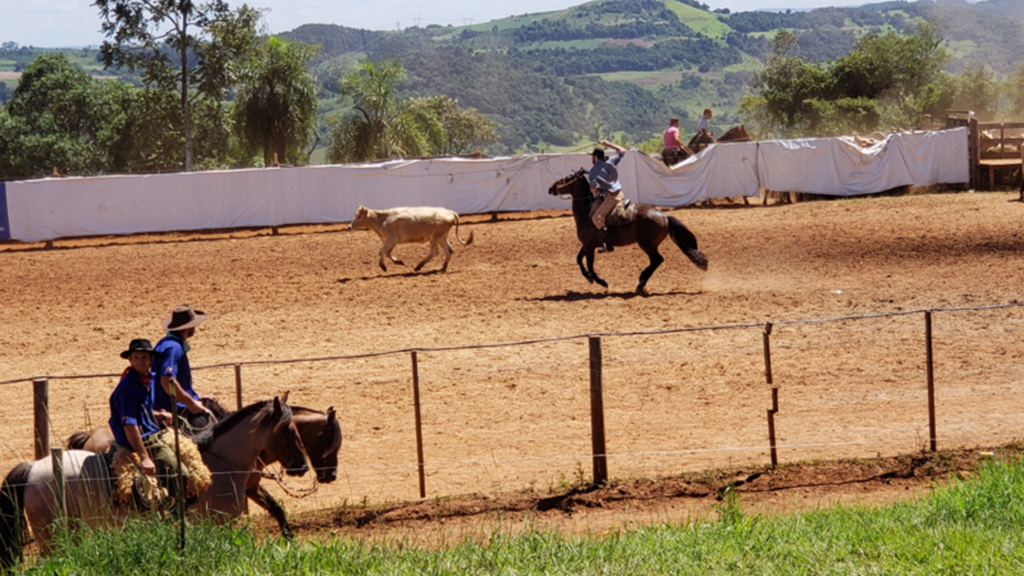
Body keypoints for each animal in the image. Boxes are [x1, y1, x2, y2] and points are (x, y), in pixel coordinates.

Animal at [548, 168, 708, 289]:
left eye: (568, 177)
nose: (551, 188)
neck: (587, 212)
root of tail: (664, 216)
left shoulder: (589, 246)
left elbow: (589, 265)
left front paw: (602, 282)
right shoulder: (587, 245)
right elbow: (579, 260)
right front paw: (588, 277)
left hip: (647, 245)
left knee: (657, 260)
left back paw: (641, 282)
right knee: (656, 261)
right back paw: (641, 282)